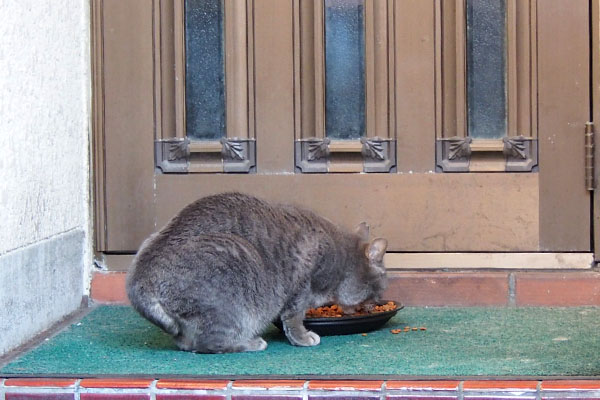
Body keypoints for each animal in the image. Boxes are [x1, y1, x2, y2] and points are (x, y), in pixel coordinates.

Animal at [126, 193, 390, 354]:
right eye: (382, 283)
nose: (379, 301)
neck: (341, 257)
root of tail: (139, 277)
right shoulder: (301, 286)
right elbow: (294, 318)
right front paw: (303, 338)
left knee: (187, 342)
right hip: (234, 279)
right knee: (209, 342)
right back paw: (252, 343)